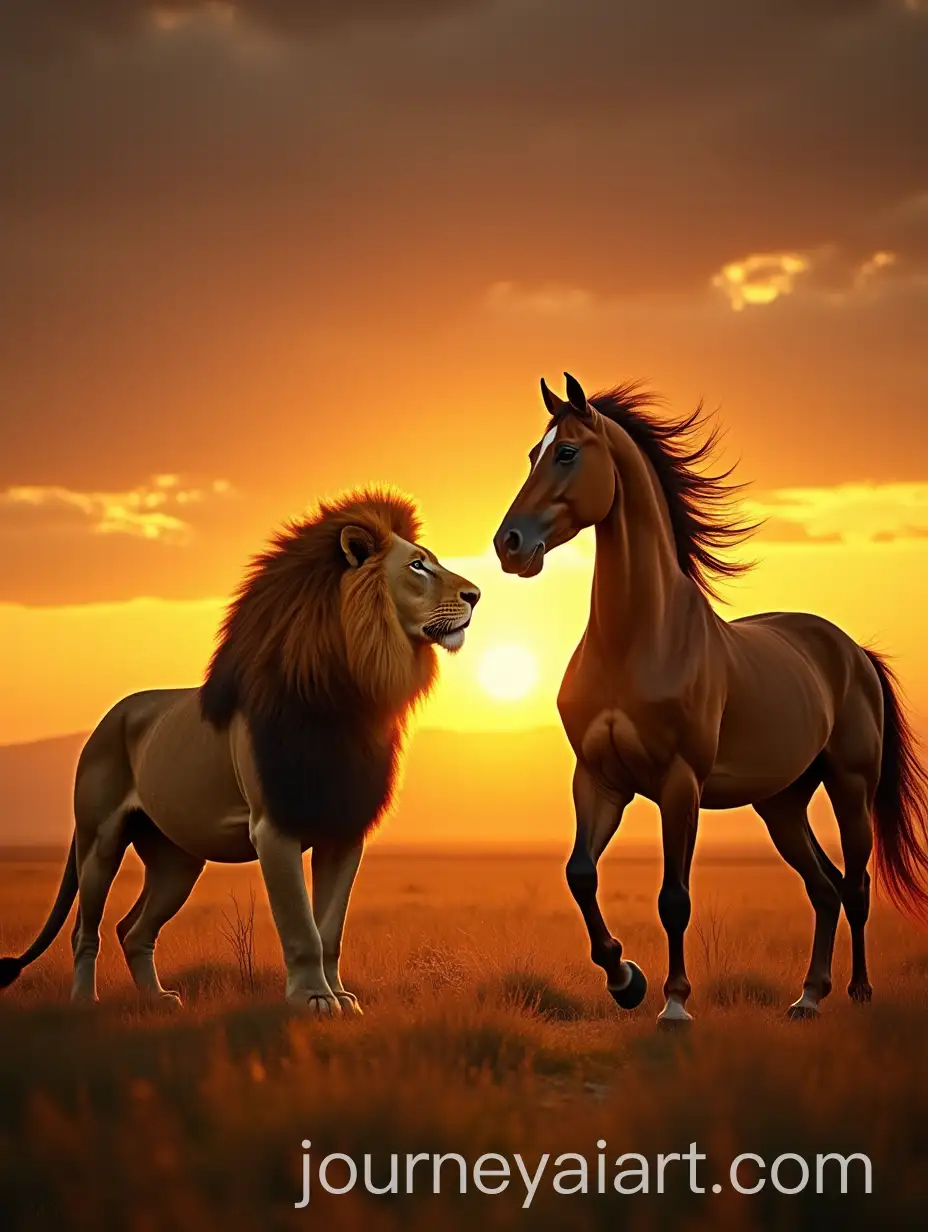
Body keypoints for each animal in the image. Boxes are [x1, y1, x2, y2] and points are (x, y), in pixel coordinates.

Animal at [0, 488, 480, 1014]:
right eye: (418, 565)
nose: (476, 595)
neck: (353, 697)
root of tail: (113, 715)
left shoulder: (345, 828)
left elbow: (330, 929)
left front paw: (340, 998)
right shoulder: (274, 826)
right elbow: (301, 927)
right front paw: (312, 1000)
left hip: (178, 860)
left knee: (133, 929)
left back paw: (158, 999)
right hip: (99, 841)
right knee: (85, 930)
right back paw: (86, 1001)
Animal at [493, 373, 928, 1024]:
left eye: (566, 452)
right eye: (530, 455)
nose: (509, 544)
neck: (638, 639)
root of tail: (853, 652)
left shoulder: (680, 783)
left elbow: (674, 897)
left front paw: (674, 1005)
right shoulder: (598, 779)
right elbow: (580, 875)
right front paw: (625, 980)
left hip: (850, 786)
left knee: (855, 886)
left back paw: (858, 992)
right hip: (780, 804)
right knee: (823, 888)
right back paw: (808, 997)